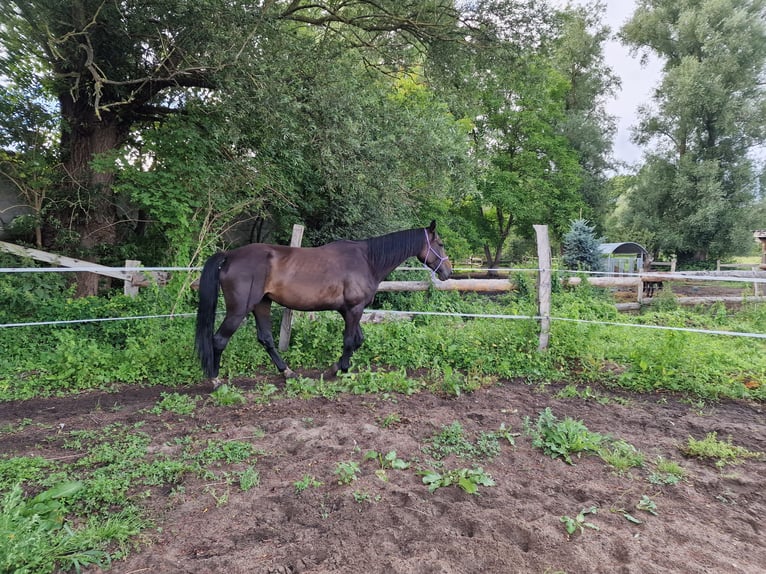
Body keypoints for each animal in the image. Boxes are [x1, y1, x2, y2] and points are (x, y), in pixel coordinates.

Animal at [195, 220, 452, 388]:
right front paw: (339, 370)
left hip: (262, 304)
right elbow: (349, 341)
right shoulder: (354, 309)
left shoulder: (348, 310)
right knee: (219, 340)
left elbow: (358, 339)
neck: (367, 260)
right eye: (440, 244)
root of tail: (229, 256)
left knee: (266, 339)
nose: (448, 272)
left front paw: (338, 367)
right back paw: (216, 380)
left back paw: (287, 372)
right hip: (239, 310)